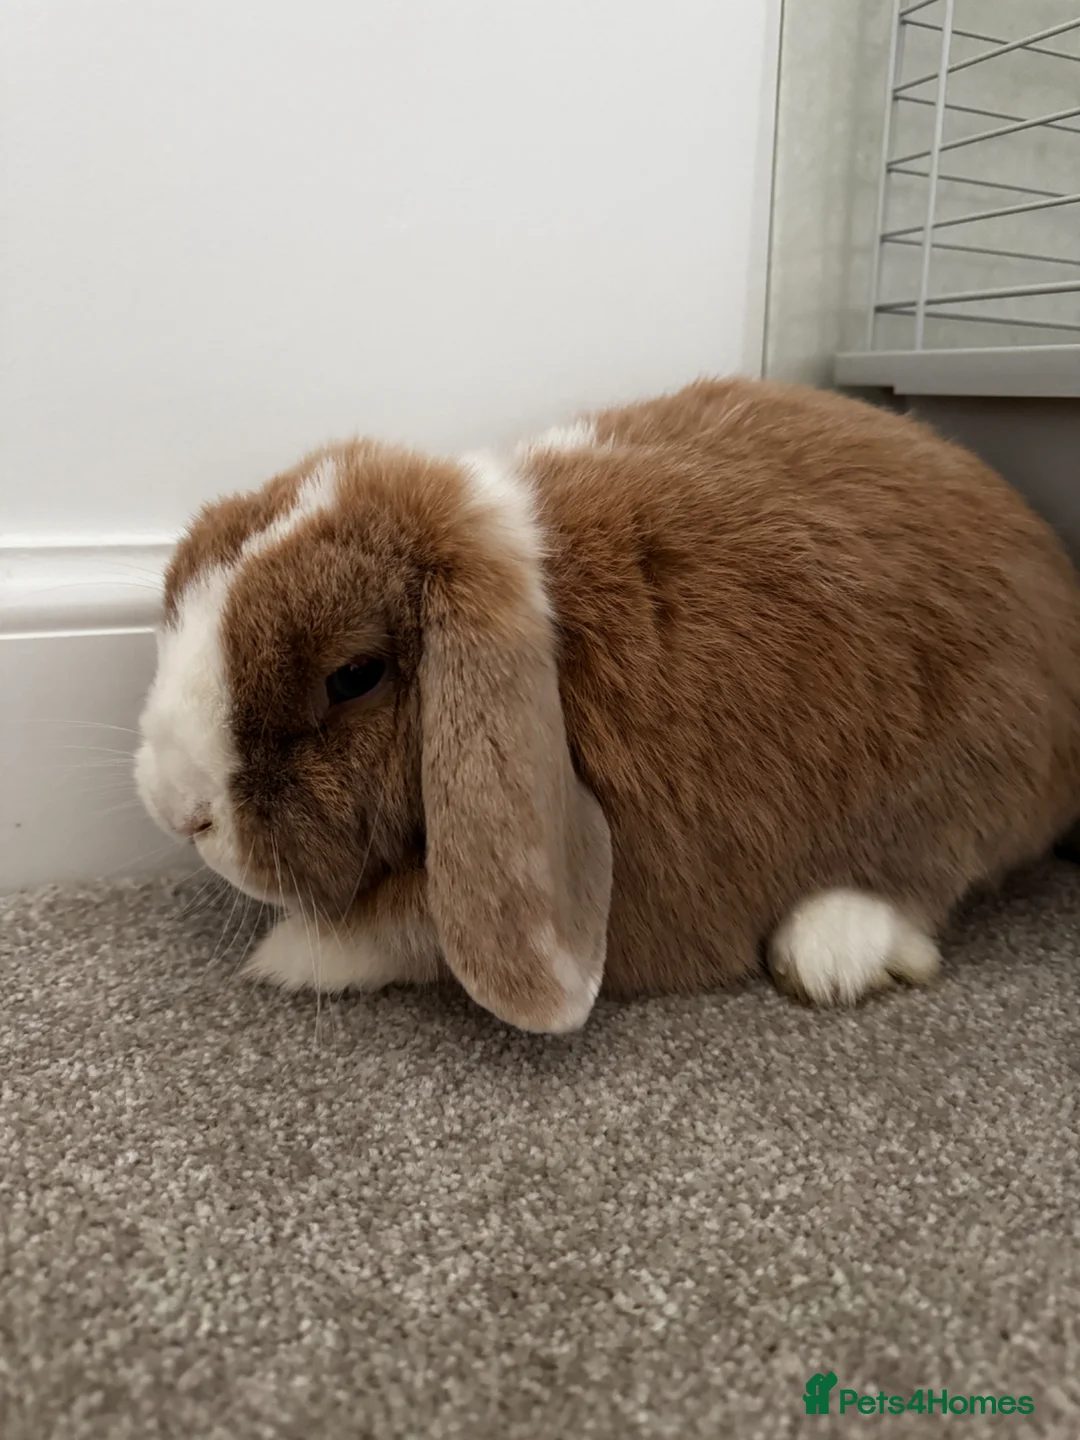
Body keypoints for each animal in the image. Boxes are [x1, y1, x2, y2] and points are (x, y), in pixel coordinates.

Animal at [134, 378, 1080, 1032]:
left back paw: (830, 948)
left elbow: (414, 925)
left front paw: (290, 956)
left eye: (354, 676)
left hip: (974, 767)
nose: (179, 811)